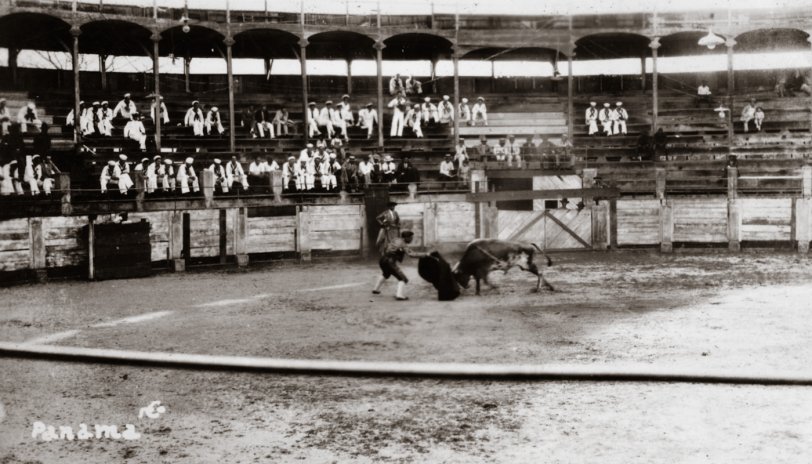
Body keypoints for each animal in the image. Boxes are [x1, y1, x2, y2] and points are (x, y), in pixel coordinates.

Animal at [418, 239, 552, 298]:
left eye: (458, 276)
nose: (466, 287)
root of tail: (529, 244)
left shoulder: (483, 271)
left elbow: (485, 281)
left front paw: (495, 288)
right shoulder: (478, 272)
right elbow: (479, 281)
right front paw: (478, 292)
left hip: (527, 265)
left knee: (540, 273)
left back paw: (538, 289)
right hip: (527, 265)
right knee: (540, 273)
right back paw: (550, 287)